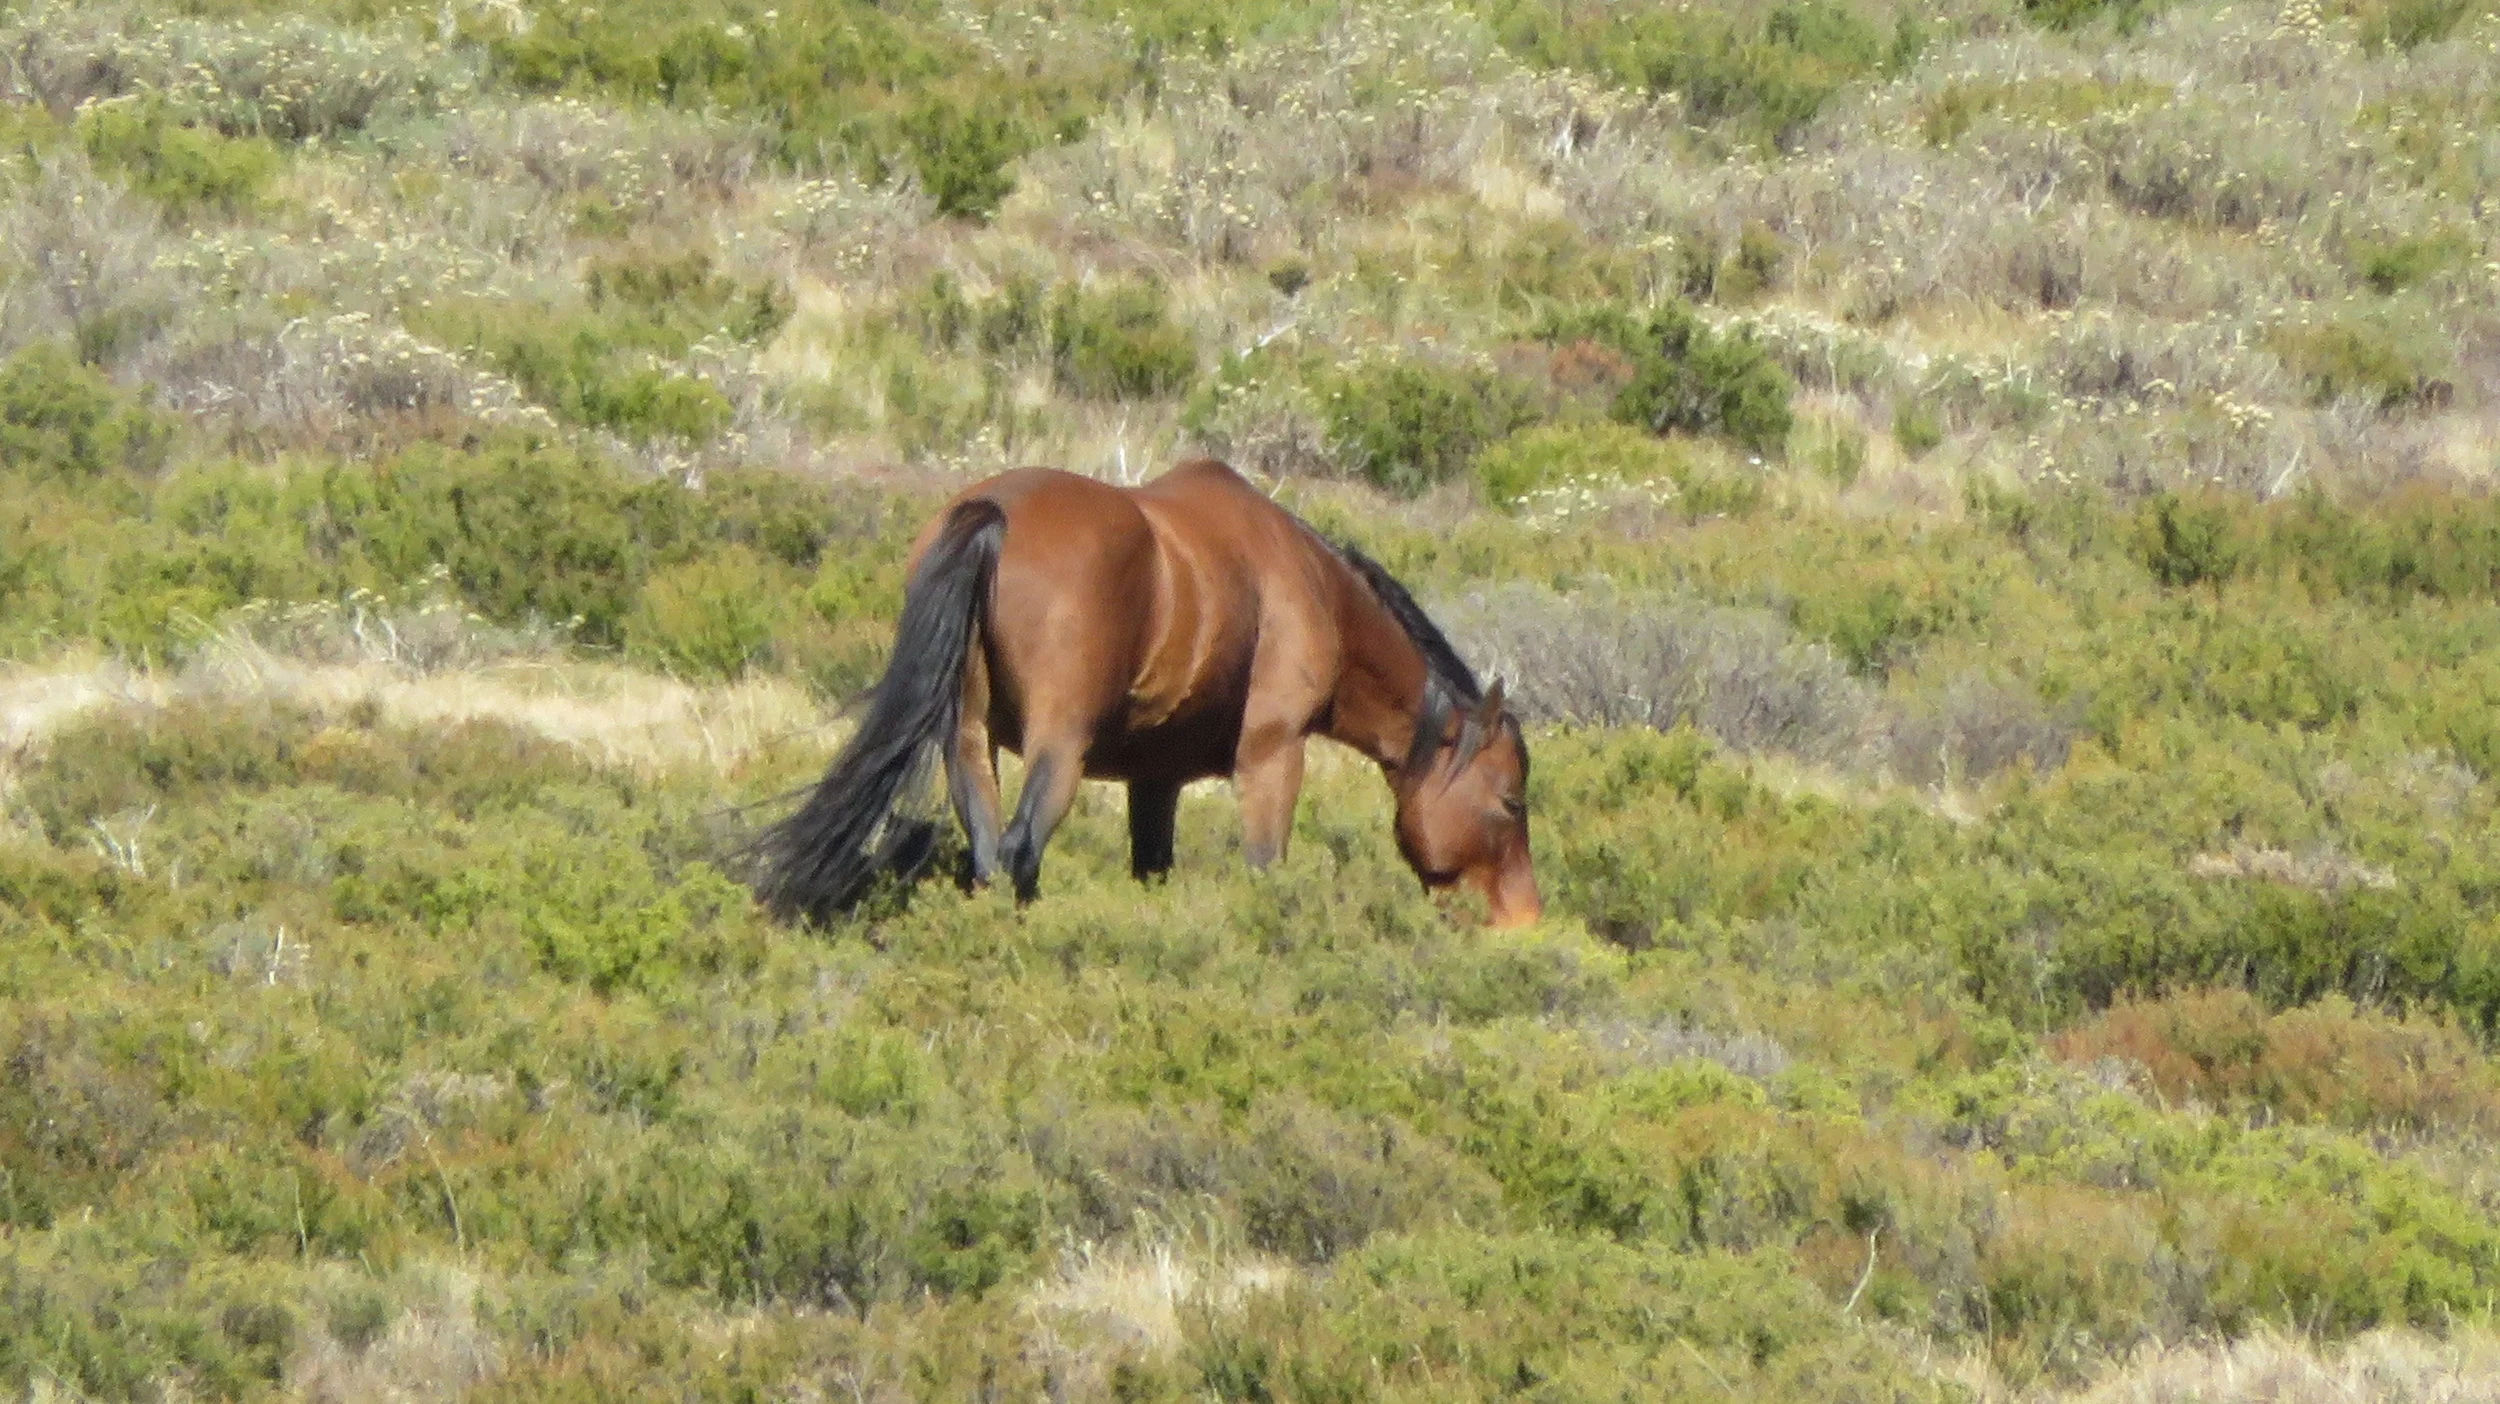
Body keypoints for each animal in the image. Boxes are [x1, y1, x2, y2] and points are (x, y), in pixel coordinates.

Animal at [748, 458, 1541, 927]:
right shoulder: (1272, 757)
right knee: (1020, 848)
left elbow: (1152, 869)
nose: (1526, 918)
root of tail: (993, 514)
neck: (1310, 587)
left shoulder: (1154, 782)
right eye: (1510, 801)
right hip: (1057, 750)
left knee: (986, 850)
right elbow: (1265, 868)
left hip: (968, 741)